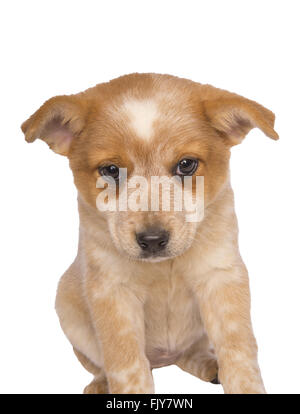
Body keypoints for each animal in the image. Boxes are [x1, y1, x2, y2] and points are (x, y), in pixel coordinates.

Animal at [21, 73, 278, 392]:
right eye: (110, 170)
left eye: (186, 165)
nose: (153, 240)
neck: (164, 268)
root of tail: (163, 359)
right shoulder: (113, 291)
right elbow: (126, 365)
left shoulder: (221, 276)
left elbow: (240, 353)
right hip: (67, 307)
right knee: (101, 365)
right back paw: (99, 384)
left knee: (189, 354)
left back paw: (209, 366)